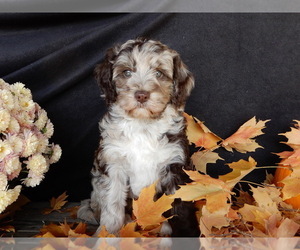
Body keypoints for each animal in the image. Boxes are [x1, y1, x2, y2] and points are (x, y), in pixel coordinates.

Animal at [78, 37, 199, 236]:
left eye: (159, 73)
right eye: (127, 72)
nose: (141, 95)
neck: (143, 126)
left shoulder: (175, 165)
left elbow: (179, 208)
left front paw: (185, 234)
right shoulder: (113, 163)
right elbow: (112, 205)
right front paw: (107, 234)